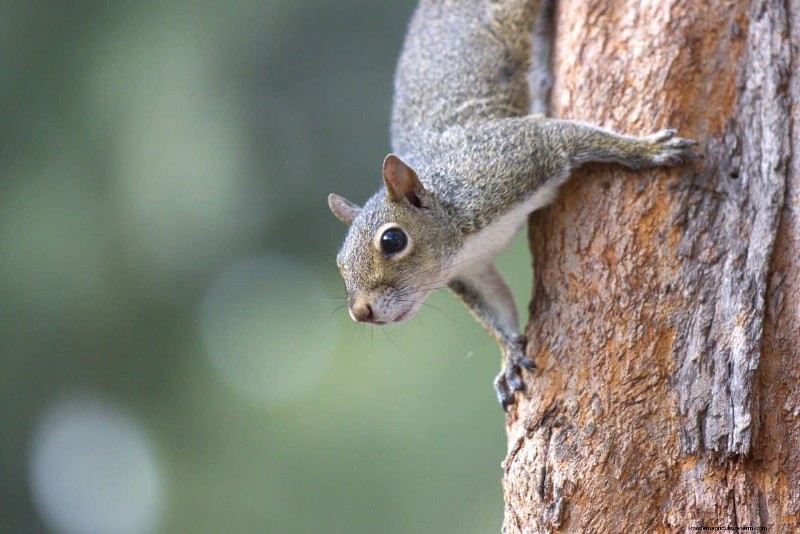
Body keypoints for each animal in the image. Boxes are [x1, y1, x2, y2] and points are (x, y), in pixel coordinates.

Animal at [327, 0, 700, 409]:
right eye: (339, 263)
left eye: (392, 240)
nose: (360, 312)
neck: (456, 221)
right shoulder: (471, 272)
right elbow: (496, 307)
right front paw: (508, 357)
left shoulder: (515, 156)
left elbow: (564, 136)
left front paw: (645, 149)